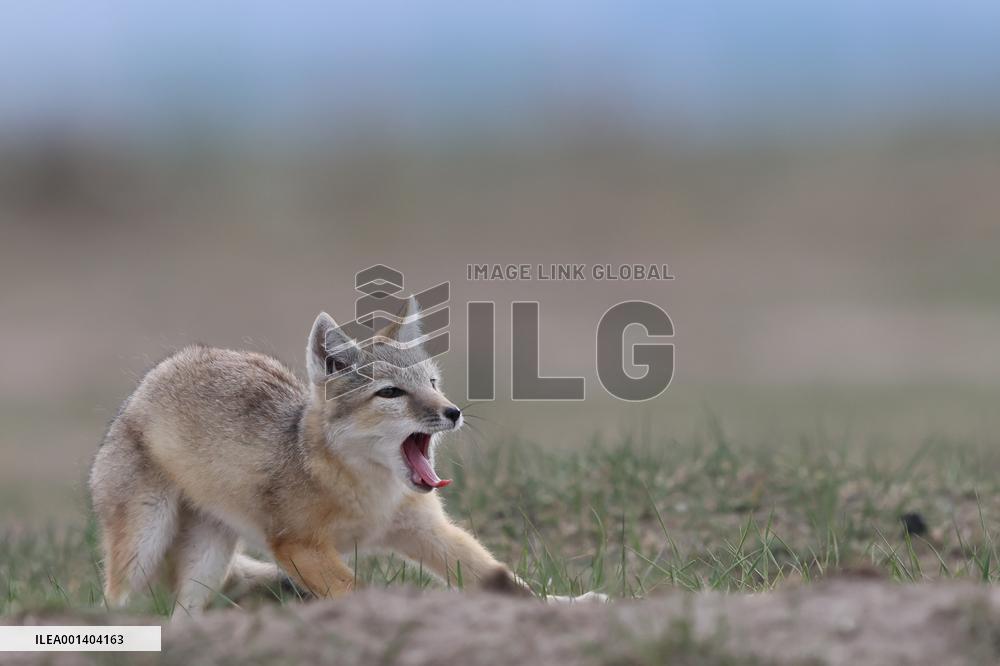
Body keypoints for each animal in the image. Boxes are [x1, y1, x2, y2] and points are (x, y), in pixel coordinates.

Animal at [89, 297, 603, 615]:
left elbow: (503, 581)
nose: (453, 412)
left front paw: (564, 606)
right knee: (115, 602)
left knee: (184, 615)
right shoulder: (299, 547)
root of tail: (158, 374)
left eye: (432, 383)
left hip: (209, 559)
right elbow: (355, 590)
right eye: (391, 393)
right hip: (145, 547)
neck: (368, 493)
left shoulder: (429, 530)